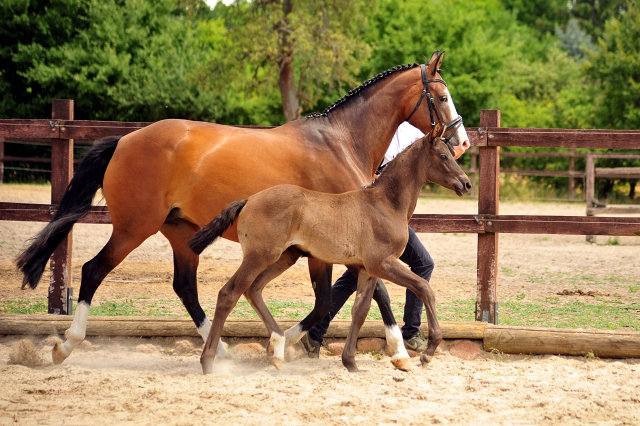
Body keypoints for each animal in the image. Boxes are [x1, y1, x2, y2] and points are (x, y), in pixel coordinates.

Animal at [190, 122, 470, 372]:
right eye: (443, 156)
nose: (466, 183)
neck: (385, 204)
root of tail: (249, 199)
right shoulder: (383, 262)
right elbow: (424, 288)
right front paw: (428, 352)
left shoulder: (367, 269)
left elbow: (360, 310)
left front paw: (351, 363)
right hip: (259, 256)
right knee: (229, 293)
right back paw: (209, 361)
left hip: (284, 257)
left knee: (254, 289)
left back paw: (278, 350)